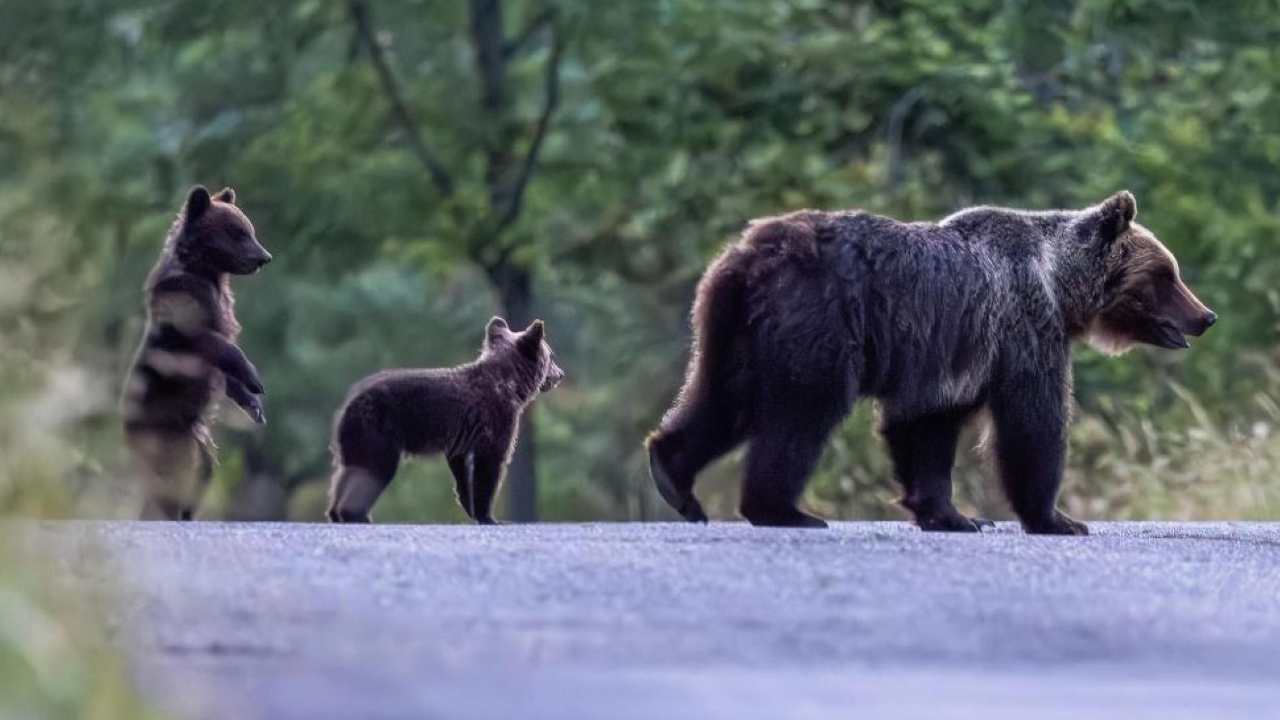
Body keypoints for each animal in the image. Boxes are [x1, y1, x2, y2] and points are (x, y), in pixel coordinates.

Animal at [645, 190, 1213, 532]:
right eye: (1166, 274)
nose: (1205, 316)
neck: (1059, 284)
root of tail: (748, 255)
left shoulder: (952, 357)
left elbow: (928, 428)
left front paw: (953, 515)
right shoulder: (1023, 327)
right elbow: (1032, 422)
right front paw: (1057, 518)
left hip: (733, 329)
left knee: (723, 398)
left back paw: (674, 479)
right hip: (818, 319)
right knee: (802, 412)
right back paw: (784, 510)